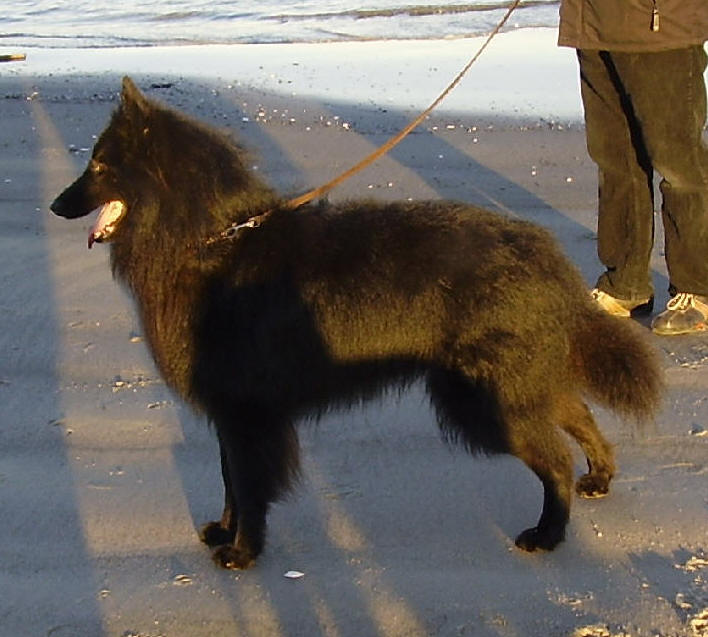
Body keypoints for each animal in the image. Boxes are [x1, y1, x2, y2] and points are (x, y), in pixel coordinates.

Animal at [51, 77, 664, 568]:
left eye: (99, 165)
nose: (55, 206)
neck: (210, 239)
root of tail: (540, 249)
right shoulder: (231, 412)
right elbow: (228, 478)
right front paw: (225, 531)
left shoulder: (245, 413)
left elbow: (245, 483)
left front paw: (243, 551)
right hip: (517, 382)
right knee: (578, 412)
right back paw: (599, 477)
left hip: (486, 400)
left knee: (555, 458)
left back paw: (548, 533)